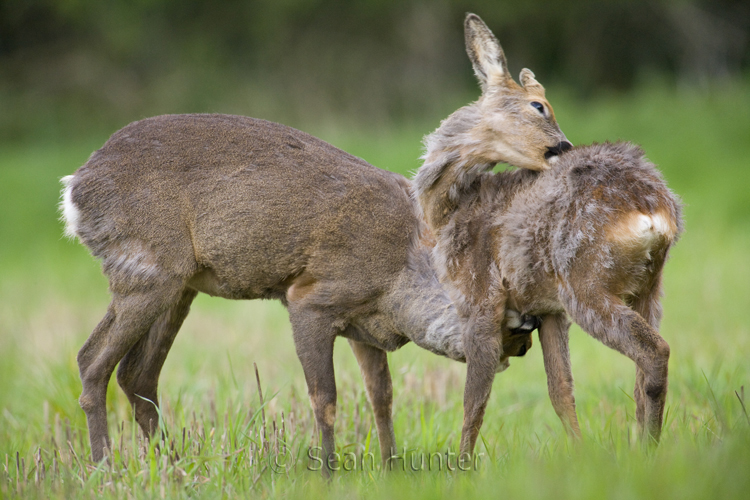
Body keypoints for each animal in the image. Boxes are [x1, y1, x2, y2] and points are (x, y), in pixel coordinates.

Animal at [414, 13, 684, 458]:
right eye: (538, 105)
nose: (565, 146)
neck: (447, 210)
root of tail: (653, 209)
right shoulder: (546, 308)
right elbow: (560, 390)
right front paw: (579, 453)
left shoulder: (479, 296)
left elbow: (474, 398)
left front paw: (461, 464)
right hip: (648, 286)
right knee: (640, 370)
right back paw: (645, 447)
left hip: (585, 281)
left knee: (654, 351)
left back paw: (647, 449)